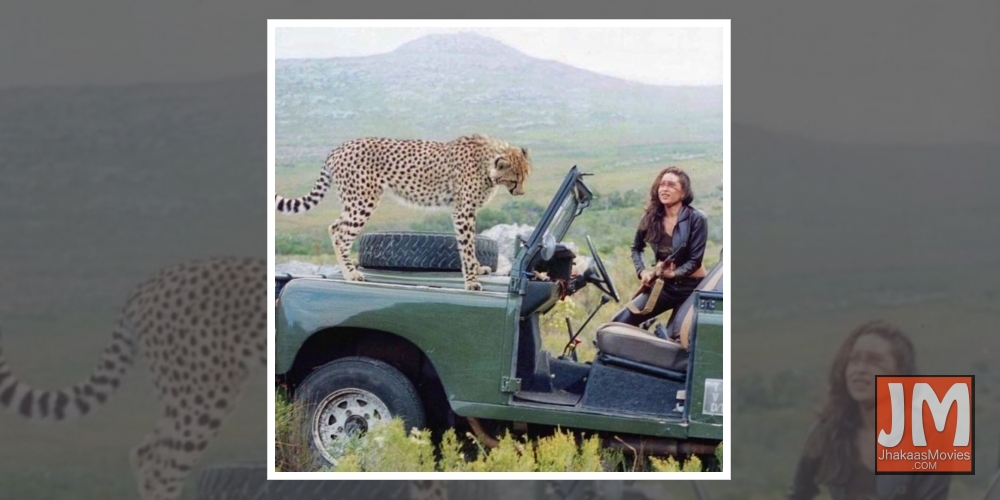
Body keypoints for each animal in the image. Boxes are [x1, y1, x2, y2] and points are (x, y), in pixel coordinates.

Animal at [274, 133, 532, 291]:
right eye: (514, 179)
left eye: (525, 176)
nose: (521, 192)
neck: (487, 162)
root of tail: (339, 148)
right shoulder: (463, 211)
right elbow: (467, 247)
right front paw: (471, 282)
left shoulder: (465, 211)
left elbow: (469, 246)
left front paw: (478, 269)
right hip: (363, 200)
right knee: (340, 232)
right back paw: (351, 275)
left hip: (353, 201)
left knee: (334, 226)